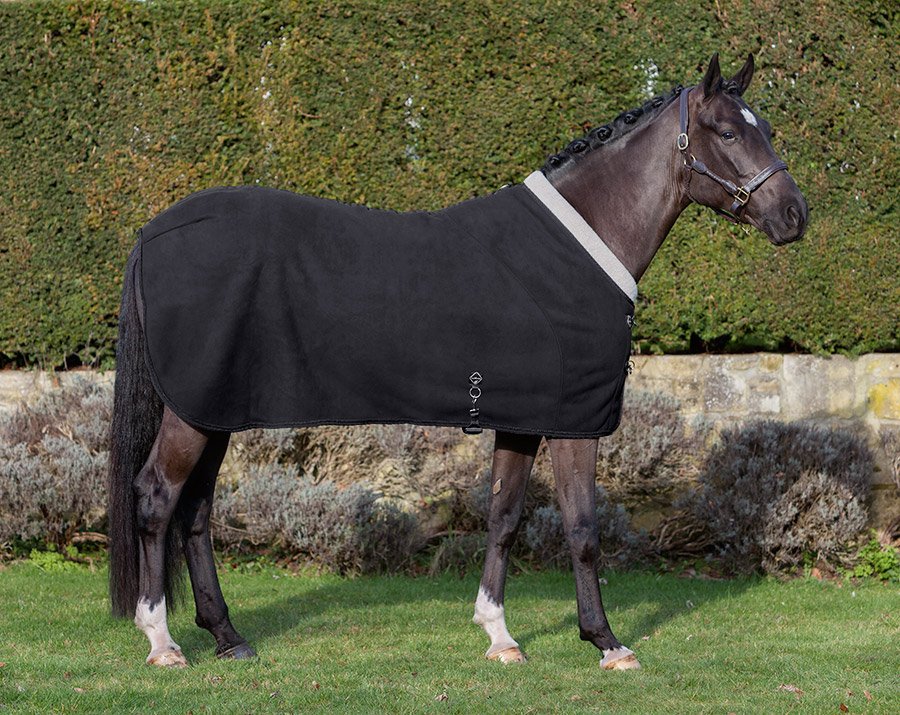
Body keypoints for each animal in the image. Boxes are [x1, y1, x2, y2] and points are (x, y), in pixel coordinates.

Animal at [107, 53, 808, 670]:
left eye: (768, 129)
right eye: (727, 131)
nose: (794, 216)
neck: (582, 243)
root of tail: (152, 232)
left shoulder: (523, 419)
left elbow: (503, 518)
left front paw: (499, 636)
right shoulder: (574, 423)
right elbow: (583, 530)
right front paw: (607, 643)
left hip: (214, 408)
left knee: (196, 512)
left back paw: (227, 637)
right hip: (193, 413)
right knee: (157, 498)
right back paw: (162, 643)